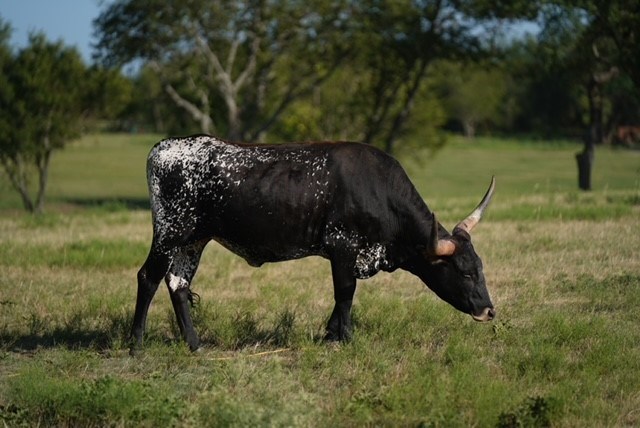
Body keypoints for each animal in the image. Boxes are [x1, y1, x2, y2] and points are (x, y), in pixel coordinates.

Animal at [130, 135, 496, 354]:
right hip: (169, 232)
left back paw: (195, 345)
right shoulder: (342, 246)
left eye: (480, 267)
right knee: (148, 277)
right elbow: (345, 293)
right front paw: (344, 338)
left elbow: (344, 296)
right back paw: (136, 344)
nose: (489, 310)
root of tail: (164, 146)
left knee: (178, 284)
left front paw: (330, 333)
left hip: (193, 241)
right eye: (464, 273)